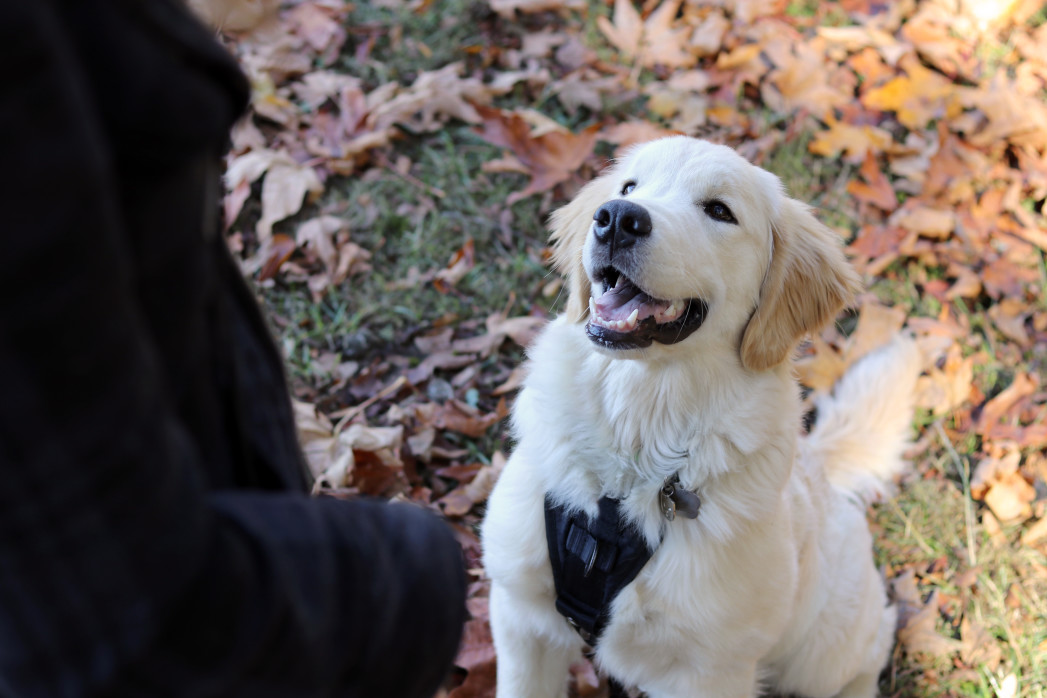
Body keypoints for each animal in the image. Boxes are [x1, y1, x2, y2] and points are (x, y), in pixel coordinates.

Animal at [479, 136, 921, 698]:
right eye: (630, 187)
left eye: (719, 210)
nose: (616, 219)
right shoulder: (520, 615)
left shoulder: (712, 670)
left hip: (825, 645)